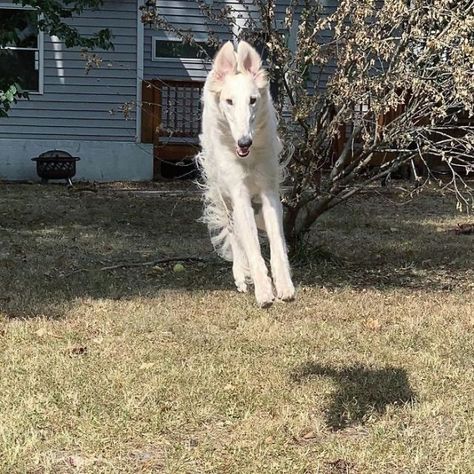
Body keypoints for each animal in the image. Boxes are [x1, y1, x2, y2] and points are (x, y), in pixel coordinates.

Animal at [197, 40, 296, 308]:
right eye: (229, 101)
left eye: (253, 100)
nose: (244, 142)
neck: (248, 159)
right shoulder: (238, 193)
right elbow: (251, 245)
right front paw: (263, 291)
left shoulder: (269, 191)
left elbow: (276, 244)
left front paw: (284, 285)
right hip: (224, 194)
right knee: (235, 233)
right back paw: (241, 275)